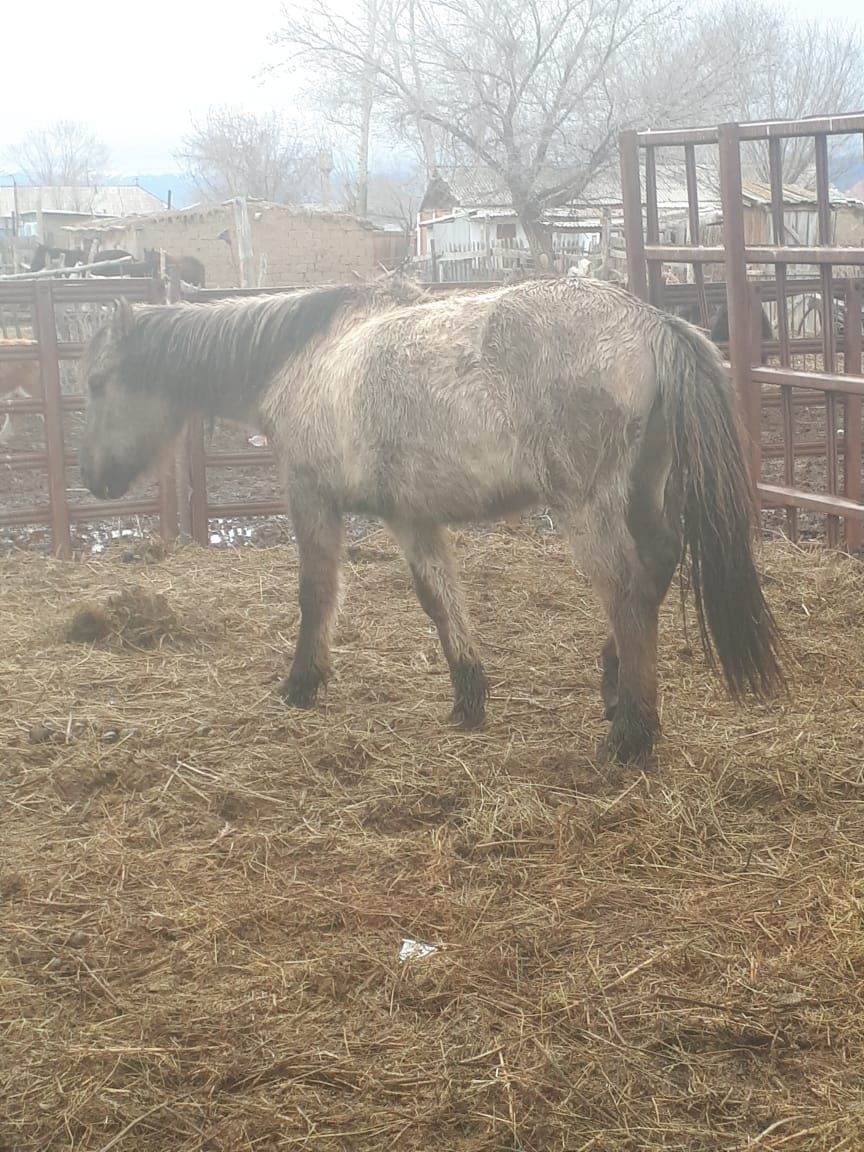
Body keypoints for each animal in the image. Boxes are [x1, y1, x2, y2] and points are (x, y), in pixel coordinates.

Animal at [79, 277, 783, 764]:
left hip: (588, 507)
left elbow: (316, 593)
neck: (309, 357)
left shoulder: (311, 497)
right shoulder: (411, 517)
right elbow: (439, 599)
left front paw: (302, 683)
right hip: (641, 489)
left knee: (626, 589)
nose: (93, 481)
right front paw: (469, 696)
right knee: (657, 566)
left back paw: (631, 733)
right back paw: (614, 691)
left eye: (96, 383)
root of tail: (653, 322)